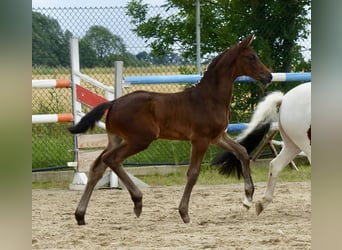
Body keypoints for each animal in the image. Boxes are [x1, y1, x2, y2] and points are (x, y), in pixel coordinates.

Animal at [67, 34, 272, 225]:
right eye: (252, 57)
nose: (268, 76)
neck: (209, 98)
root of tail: (114, 102)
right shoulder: (201, 139)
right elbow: (193, 173)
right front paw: (184, 213)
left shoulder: (218, 137)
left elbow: (242, 152)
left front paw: (248, 197)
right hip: (140, 139)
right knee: (112, 159)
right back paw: (137, 201)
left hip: (116, 138)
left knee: (97, 167)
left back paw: (80, 215)